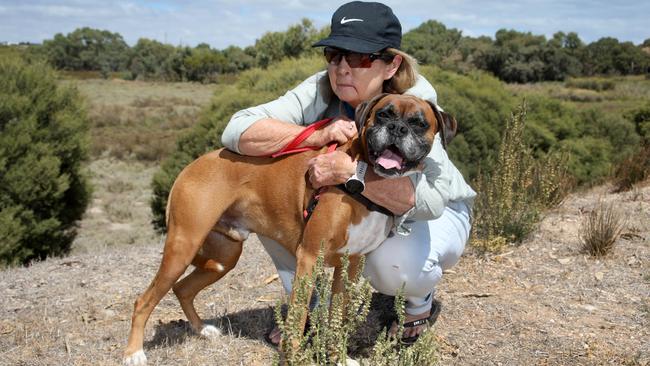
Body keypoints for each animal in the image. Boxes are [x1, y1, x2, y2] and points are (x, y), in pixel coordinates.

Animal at [121, 93, 456, 364]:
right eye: (384, 114)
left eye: (418, 123)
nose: (398, 129)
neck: (360, 181)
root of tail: (190, 166)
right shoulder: (308, 257)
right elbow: (297, 319)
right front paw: (295, 357)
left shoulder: (349, 266)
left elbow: (337, 318)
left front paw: (337, 357)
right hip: (184, 245)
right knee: (144, 300)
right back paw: (134, 353)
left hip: (224, 256)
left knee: (183, 288)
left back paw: (202, 329)